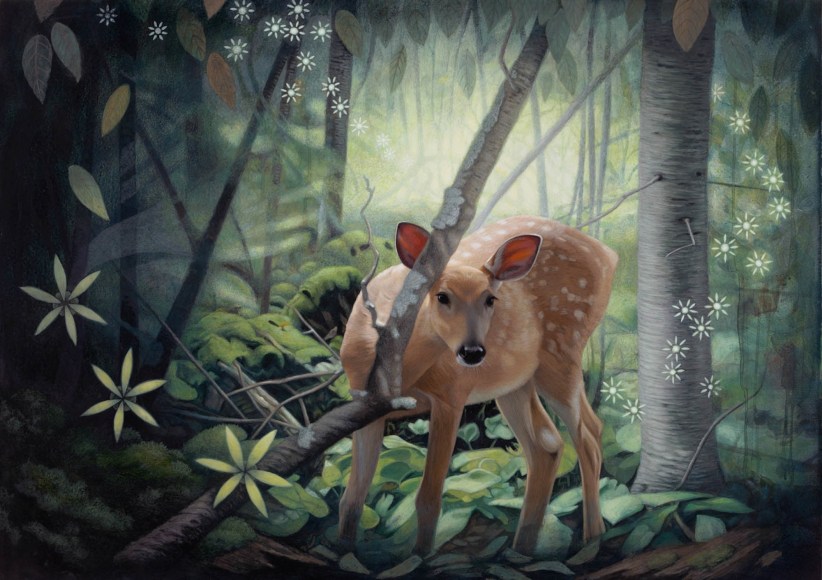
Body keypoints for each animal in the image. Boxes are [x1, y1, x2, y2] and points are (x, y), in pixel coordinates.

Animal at [337, 216, 617, 556]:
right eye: (442, 296)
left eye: (490, 299)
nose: (472, 352)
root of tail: (608, 255)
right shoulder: (364, 405)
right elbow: (352, 498)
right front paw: (344, 550)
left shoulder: (451, 395)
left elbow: (428, 498)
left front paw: (420, 557)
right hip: (515, 383)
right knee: (550, 444)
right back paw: (522, 549)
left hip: (563, 352)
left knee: (586, 438)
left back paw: (592, 539)